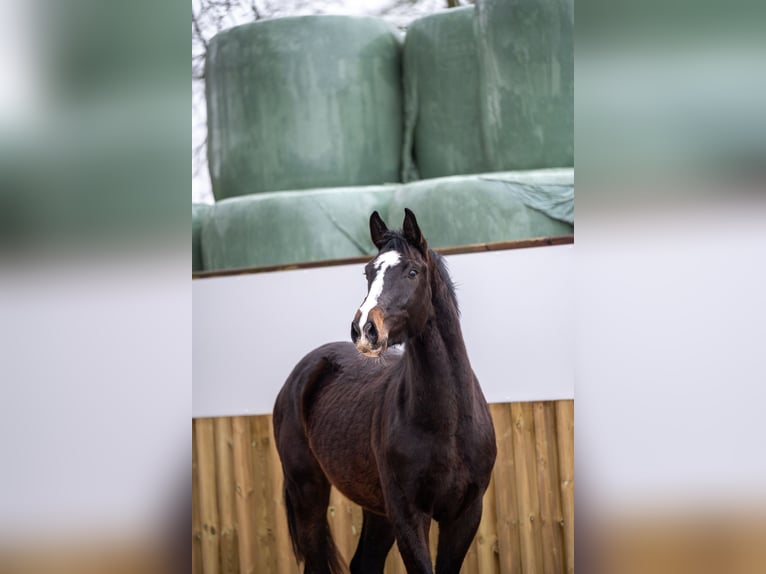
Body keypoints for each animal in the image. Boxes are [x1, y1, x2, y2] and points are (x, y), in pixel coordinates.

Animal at [274, 210, 498, 574]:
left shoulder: (465, 515)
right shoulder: (408, 515)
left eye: (412, 271)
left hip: (375, 508)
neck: (448, 423)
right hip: (308, 492)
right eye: (368, 271)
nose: (365, 329)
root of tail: (303, 371)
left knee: (364, 563)